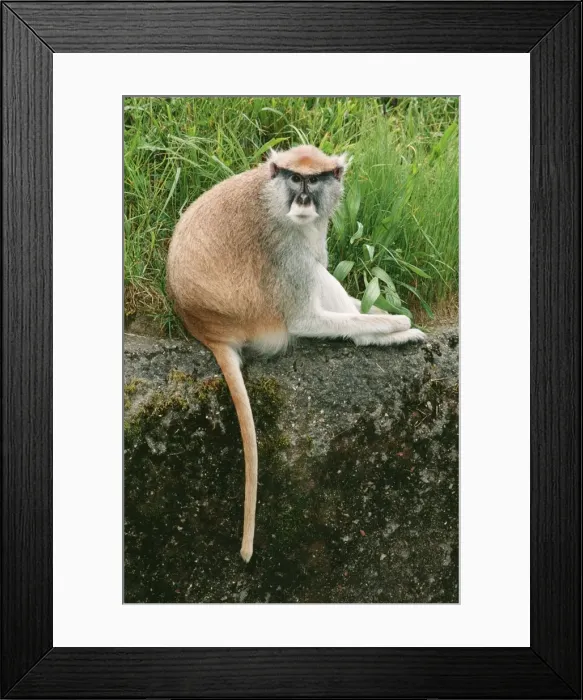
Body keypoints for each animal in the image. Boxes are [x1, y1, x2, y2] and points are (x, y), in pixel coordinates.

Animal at [166, 144, 426, 563]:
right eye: (295, 178)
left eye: (313, 180)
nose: (303, 198)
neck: (270, 195)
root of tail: (206, 328)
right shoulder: (284, 244)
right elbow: (305, 319)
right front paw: (394, 324)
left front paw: (386, 319)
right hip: (261, 315)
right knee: (313, 278)